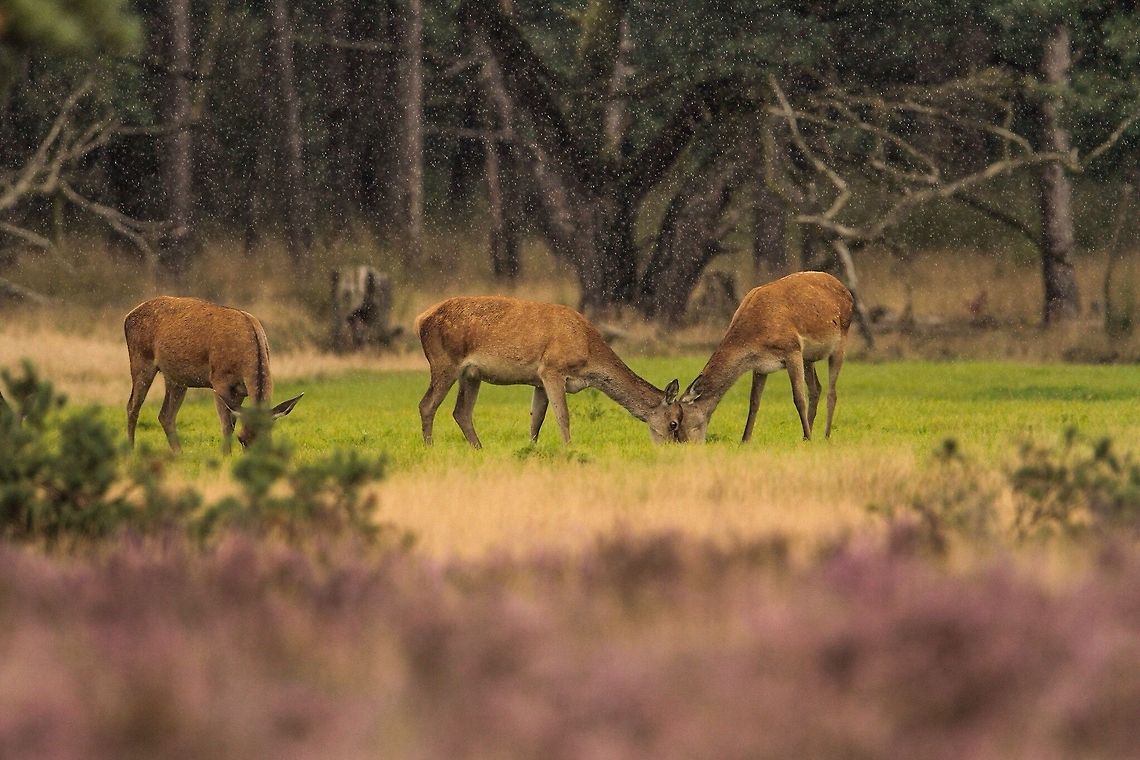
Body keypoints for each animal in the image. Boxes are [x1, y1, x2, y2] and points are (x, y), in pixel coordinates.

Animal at [124, 296, 303, 453]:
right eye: (242, 440)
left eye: (268, 440)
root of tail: (127, 316)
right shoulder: (219, 380)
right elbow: (226, 425)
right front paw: (225, 454)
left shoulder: (240, 390)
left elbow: (233, 421)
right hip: (140, 359)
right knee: (132, 405)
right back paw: (131, 450)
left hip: (176, 378)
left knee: (165, 415)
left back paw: (179, 453)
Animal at [415, 296, 683, 448]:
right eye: (674, 423)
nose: (672, 448)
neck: (588, 352)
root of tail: (420, 319)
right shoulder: (552, 369)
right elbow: (563, 416)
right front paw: (569, 450)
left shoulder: (538, 381)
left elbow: (537, 420)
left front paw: (531, 450)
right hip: (443, 361)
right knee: (427, 404)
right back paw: (430, 448)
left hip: (471, 374)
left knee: (461, 412)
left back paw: (479, 448)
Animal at [678, 271, 853, 443]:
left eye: (679, 420)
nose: (683, 442)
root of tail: (849, 294)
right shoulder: (760, 365)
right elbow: (754, 402)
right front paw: (745, 439)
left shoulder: (792, 349)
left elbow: (798, 398)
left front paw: (810, 436)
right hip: (808, 358)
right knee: (816, 389)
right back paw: (804, 437)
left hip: (840, 341)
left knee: (831, 392)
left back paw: (825, 436)